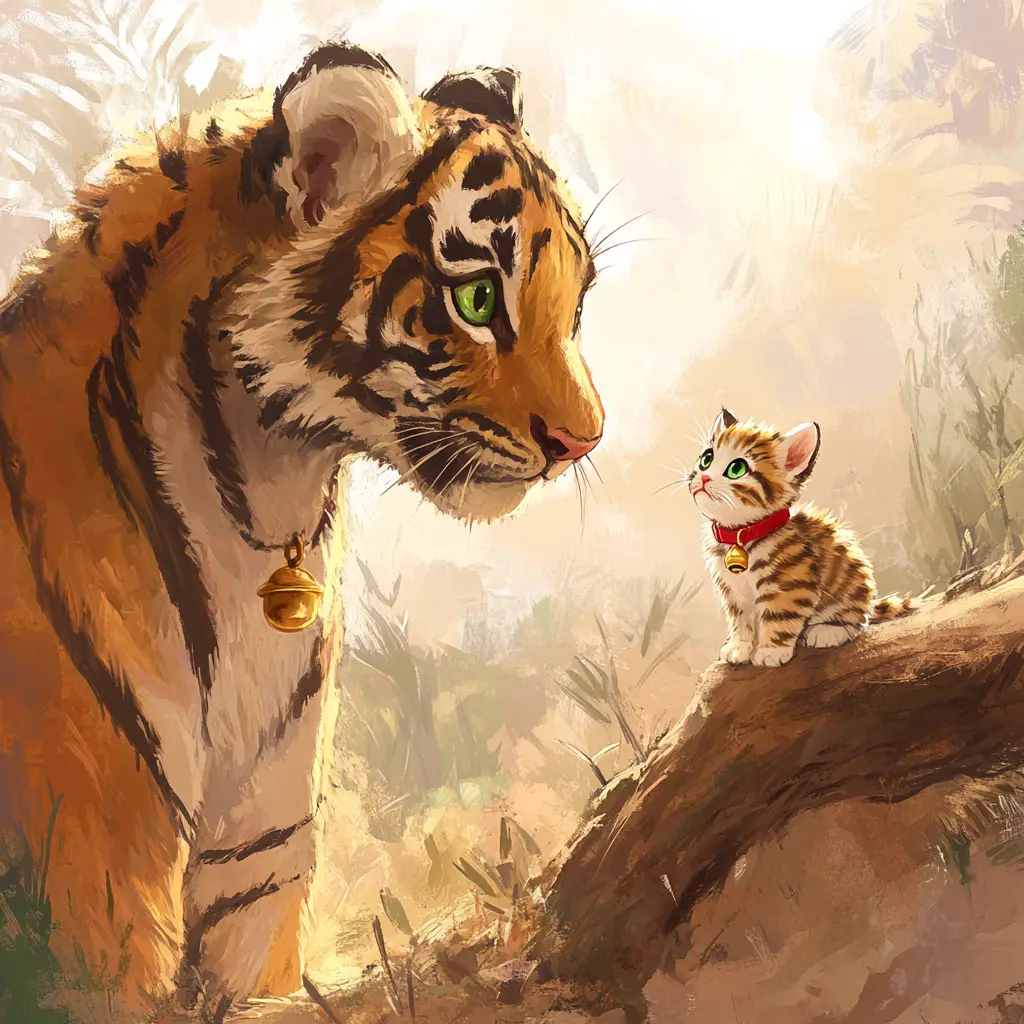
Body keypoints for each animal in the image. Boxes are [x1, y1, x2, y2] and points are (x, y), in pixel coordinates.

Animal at [0, 42, 604, 1018]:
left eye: (575, 302)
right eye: (478, 298)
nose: (585, 440)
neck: (263, 502)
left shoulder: (257, 856)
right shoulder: (93, 879)